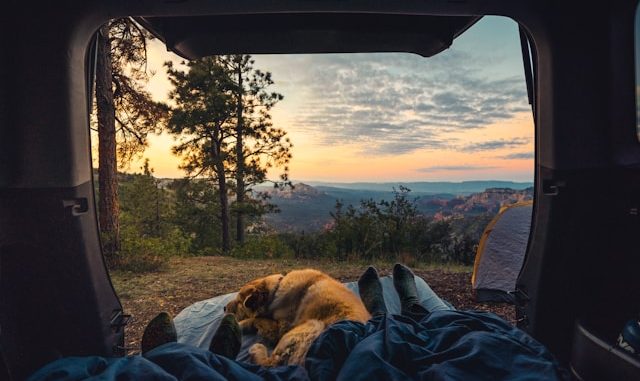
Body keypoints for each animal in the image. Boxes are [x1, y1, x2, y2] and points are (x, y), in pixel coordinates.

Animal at [225, 268, 370, 366]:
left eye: (239, 302)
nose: (224, 308)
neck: (275, 290)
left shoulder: (280, 329)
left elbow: (256, 319)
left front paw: (239, 324)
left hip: (311, 325)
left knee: (271, 364)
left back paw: (257, 349)